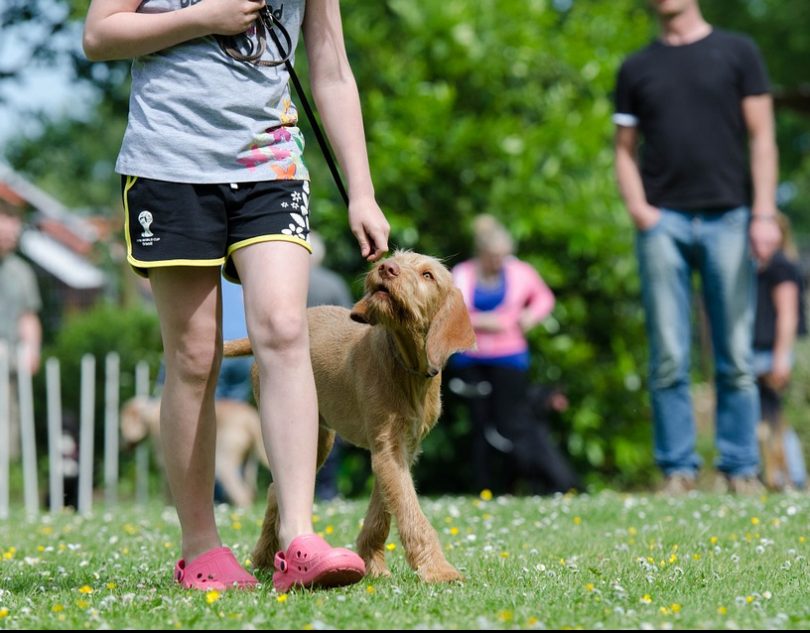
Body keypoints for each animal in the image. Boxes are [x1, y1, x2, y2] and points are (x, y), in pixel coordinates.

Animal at [119, 398, 268, 506]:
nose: (123, 447)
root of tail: (250, 418)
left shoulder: (165, 463)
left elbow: (168, 490)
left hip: (224, 462)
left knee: (241, 494)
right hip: (249, 463)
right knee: (249, 491)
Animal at [223, 252, 474, 584]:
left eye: (428, 275)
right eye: (395, 257)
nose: (386, 267)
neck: (406, 365)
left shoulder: (399, 450)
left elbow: (383, 510)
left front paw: (373, 563)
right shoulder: (387, 448)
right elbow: (410, 511)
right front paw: (438, 569)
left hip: (318, 437)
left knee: (277, 489)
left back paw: (266, 558)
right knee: (276, 488)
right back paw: (265, 559)